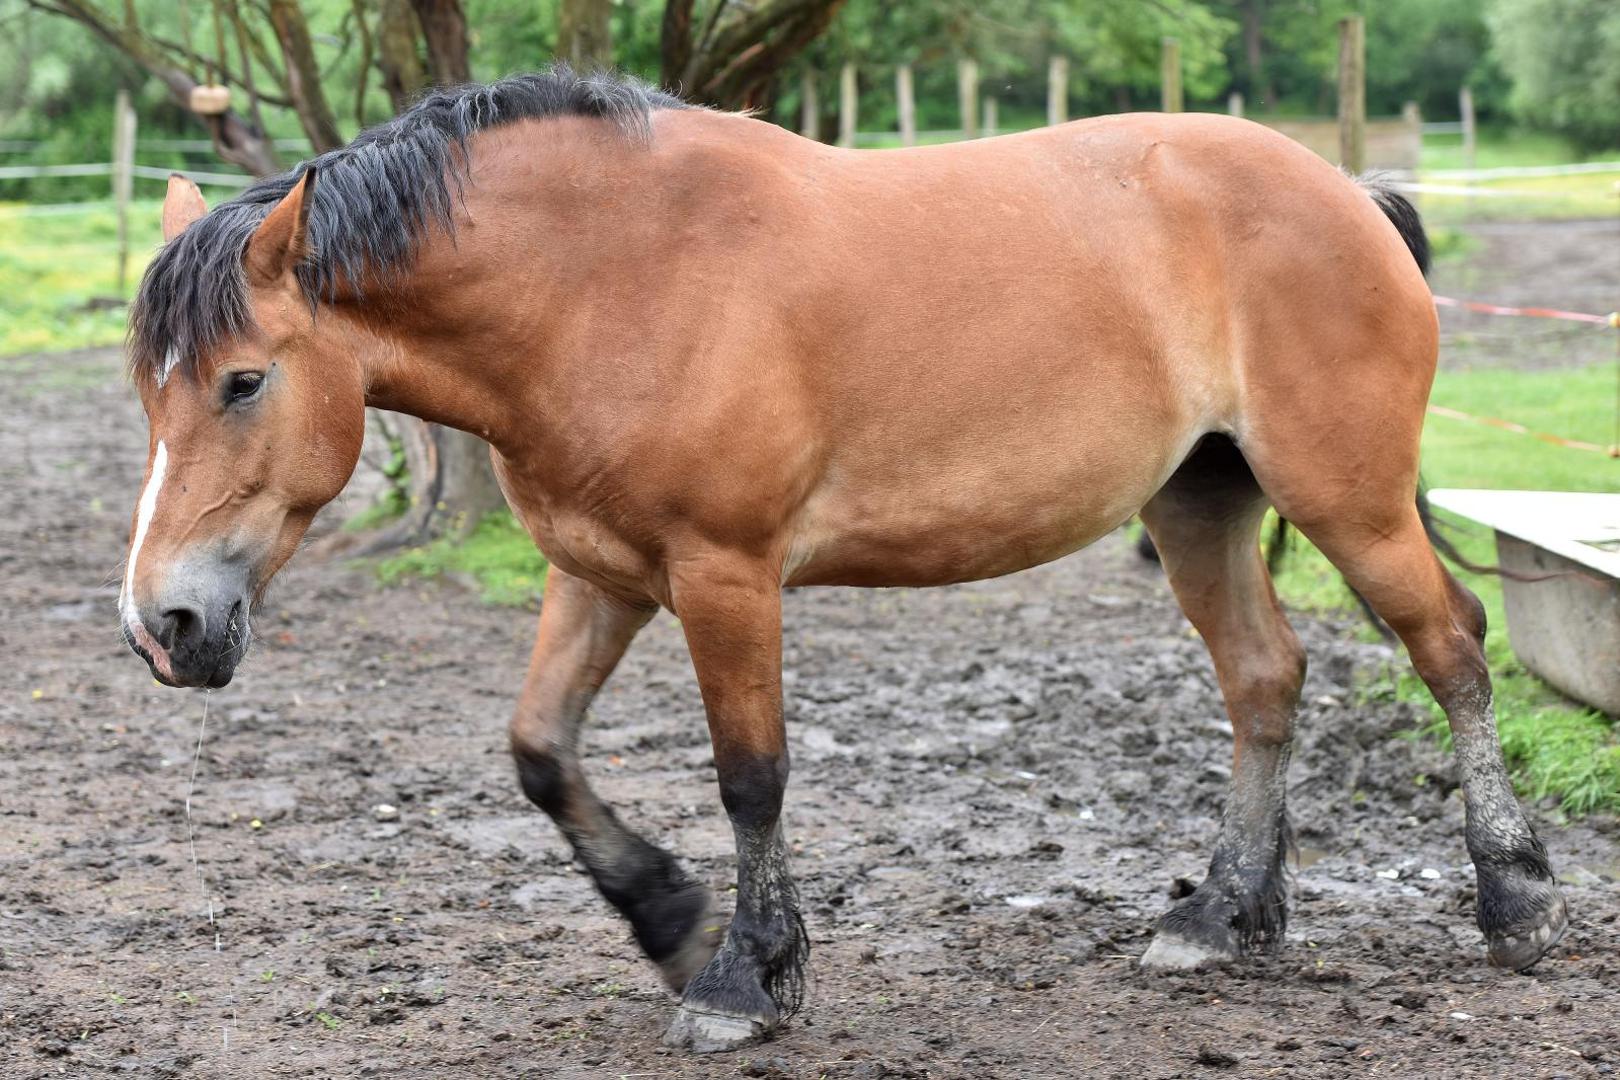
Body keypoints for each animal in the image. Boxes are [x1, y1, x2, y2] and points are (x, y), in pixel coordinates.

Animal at [119, 67, 1561, 1049]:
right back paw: (1218, 918)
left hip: (1346, 500)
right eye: (150, 390)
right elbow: (540, 753)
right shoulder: (601, 574)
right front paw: (679, 923)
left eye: (243, 381)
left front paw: (743, 981)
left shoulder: (726, 575)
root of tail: (1346, 192)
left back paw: (1515, 904)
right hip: (1199, 505)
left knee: (1452, 649)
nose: (163, 627)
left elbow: (752, 777)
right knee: (1266, 677)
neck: (611, 278)